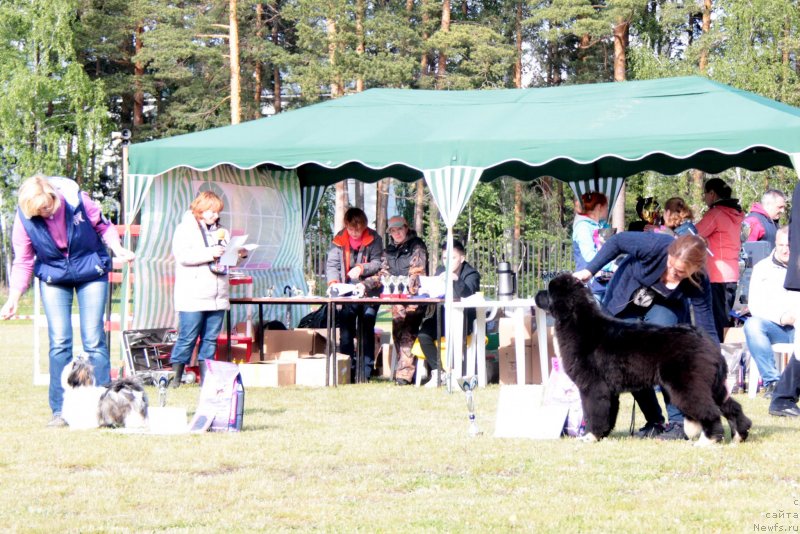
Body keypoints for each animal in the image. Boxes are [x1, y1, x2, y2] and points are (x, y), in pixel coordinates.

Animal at [536, 274, 752, 446]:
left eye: (549, 291)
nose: (537, 294)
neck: (578, 321)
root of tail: (705, 340)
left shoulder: (593, 387)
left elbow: (593, 413)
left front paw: (590, 436)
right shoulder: (609, 390)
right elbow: (608, 414)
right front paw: (602, 435)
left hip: (687, 386)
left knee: (710, 411)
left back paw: (708, 440)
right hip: (711, 384)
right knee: (730, 406)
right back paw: (739, 434)